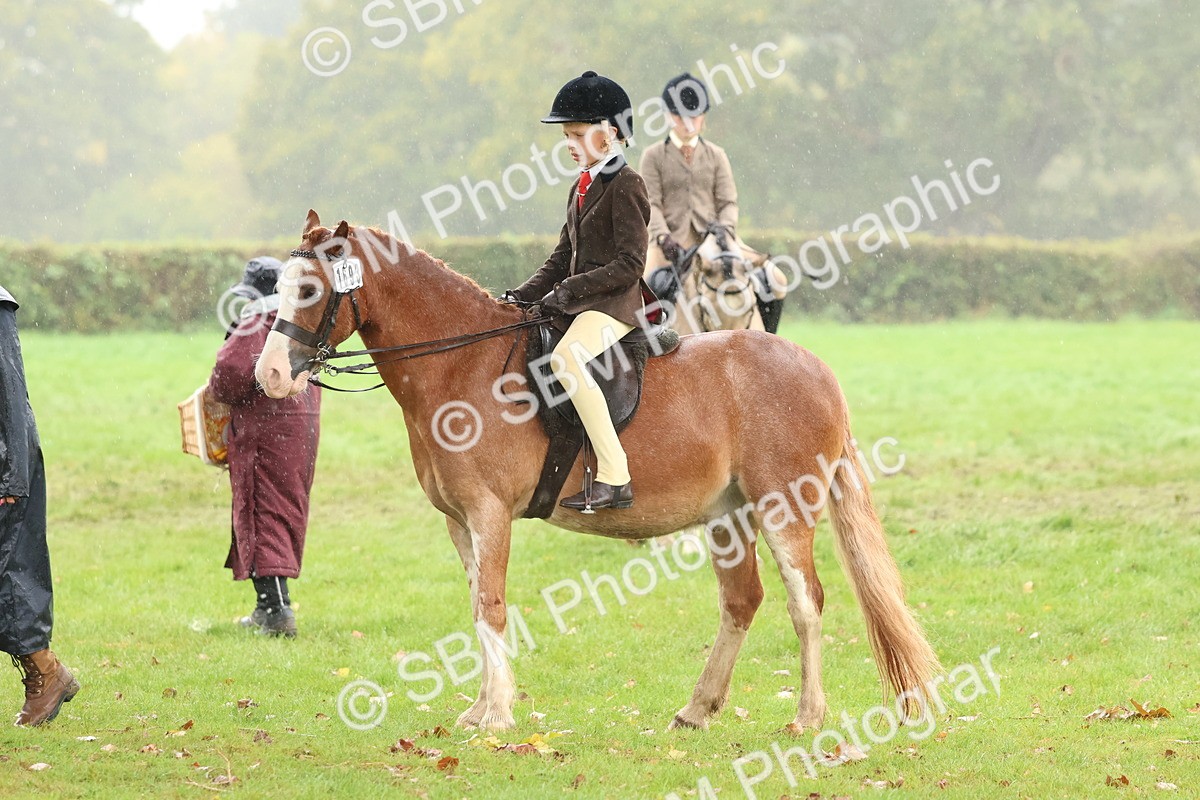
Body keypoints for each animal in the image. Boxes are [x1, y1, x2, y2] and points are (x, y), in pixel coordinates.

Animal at [255, 210, 940, 733]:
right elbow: (476, 607)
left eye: (310, 291)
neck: (461, 366)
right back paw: (697, 710)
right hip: (729, 515)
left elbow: (493, 606)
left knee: (806, 602)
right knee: (742, 600)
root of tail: (816, 369)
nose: (269, 377)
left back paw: (807, 716)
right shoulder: (459, 522)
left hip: (783, 507)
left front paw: (497, 717)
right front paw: (479, 710)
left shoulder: (490, 514)